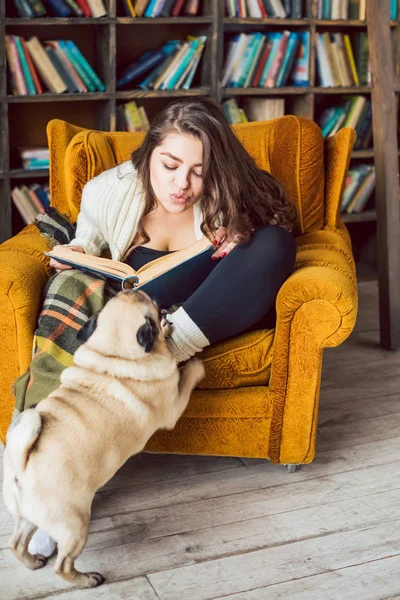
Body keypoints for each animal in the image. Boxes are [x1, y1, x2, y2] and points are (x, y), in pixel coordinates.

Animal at [2, 288, 203, 588]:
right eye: (152, 305)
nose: (135, 286)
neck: (112, 356)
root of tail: (21, 465)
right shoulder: (173, 407)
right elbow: (186, 377)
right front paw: (194, 365)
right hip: (75, 525)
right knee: (62, 566)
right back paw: (87, 580)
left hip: (28, 516)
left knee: (16, 544)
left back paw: (32, 561)